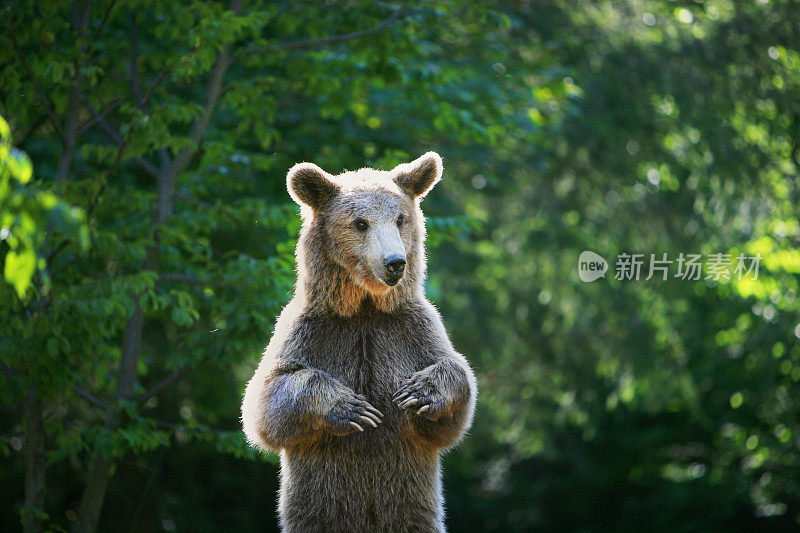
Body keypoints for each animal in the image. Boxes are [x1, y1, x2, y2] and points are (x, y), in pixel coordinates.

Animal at [241, 152, 478, 528]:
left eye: (400, 219)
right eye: (361, 223)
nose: (395, 262)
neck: (364, 308)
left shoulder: (409, 330)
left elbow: (454, 389)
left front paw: (419, 392)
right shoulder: (315, 332)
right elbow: (267, 400)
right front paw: (351, 407)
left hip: (410, 506)